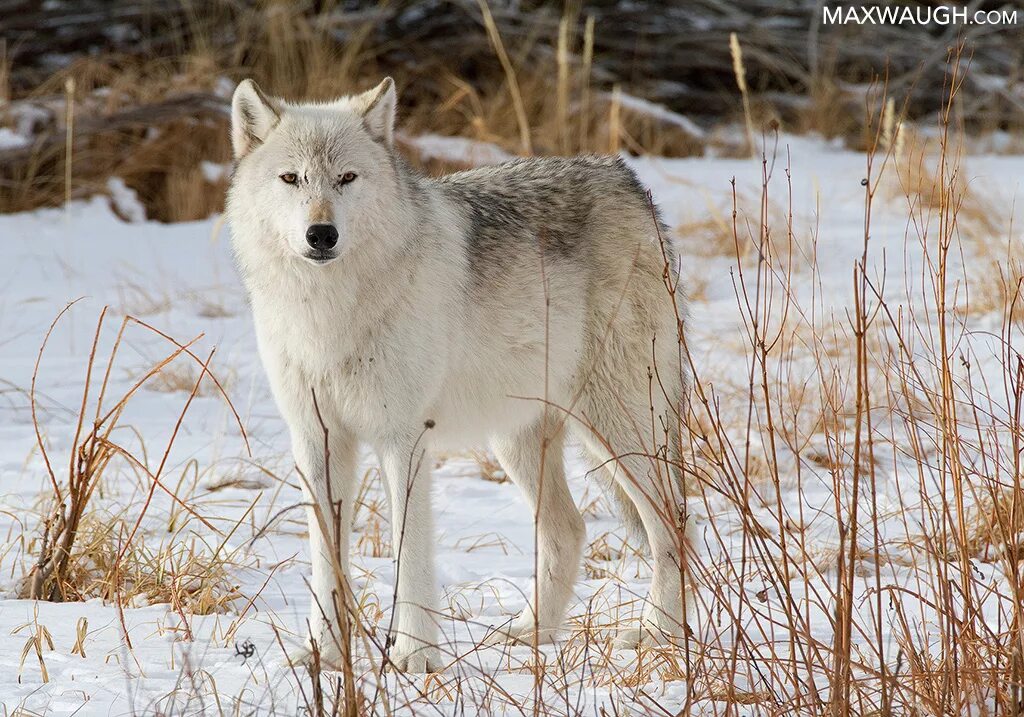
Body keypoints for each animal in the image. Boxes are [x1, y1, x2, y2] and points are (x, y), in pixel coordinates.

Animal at [228, 76, 692, 671]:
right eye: (291, 179)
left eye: (346, 178)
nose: (321, 234)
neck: (329, 311)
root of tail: (625, 177)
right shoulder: (316, 439)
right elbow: (325, 557)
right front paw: (324, 657)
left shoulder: (404, 439)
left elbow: (411, 553)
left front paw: (415, 657)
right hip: (517, 440)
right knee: (568, 530)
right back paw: (531, 633)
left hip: (619, 429)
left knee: (674, 522)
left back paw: (659, 633)